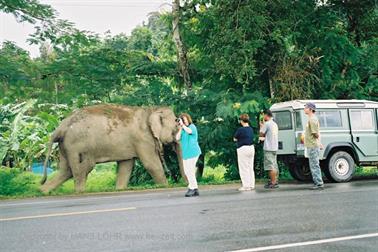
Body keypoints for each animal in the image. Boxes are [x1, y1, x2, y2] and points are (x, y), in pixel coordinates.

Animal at [39, 104, 185, 193]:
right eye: (176, 126)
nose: (183, 183)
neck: (150, 110)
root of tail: (60, 126)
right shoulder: (143, 139)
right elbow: (152, 165)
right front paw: (164, 186)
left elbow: (126, 166)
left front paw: (119, 189)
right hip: (76, 145)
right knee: (82, 168)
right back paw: (80, 192)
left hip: (64, 146)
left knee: (65, 171)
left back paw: (42, 191)